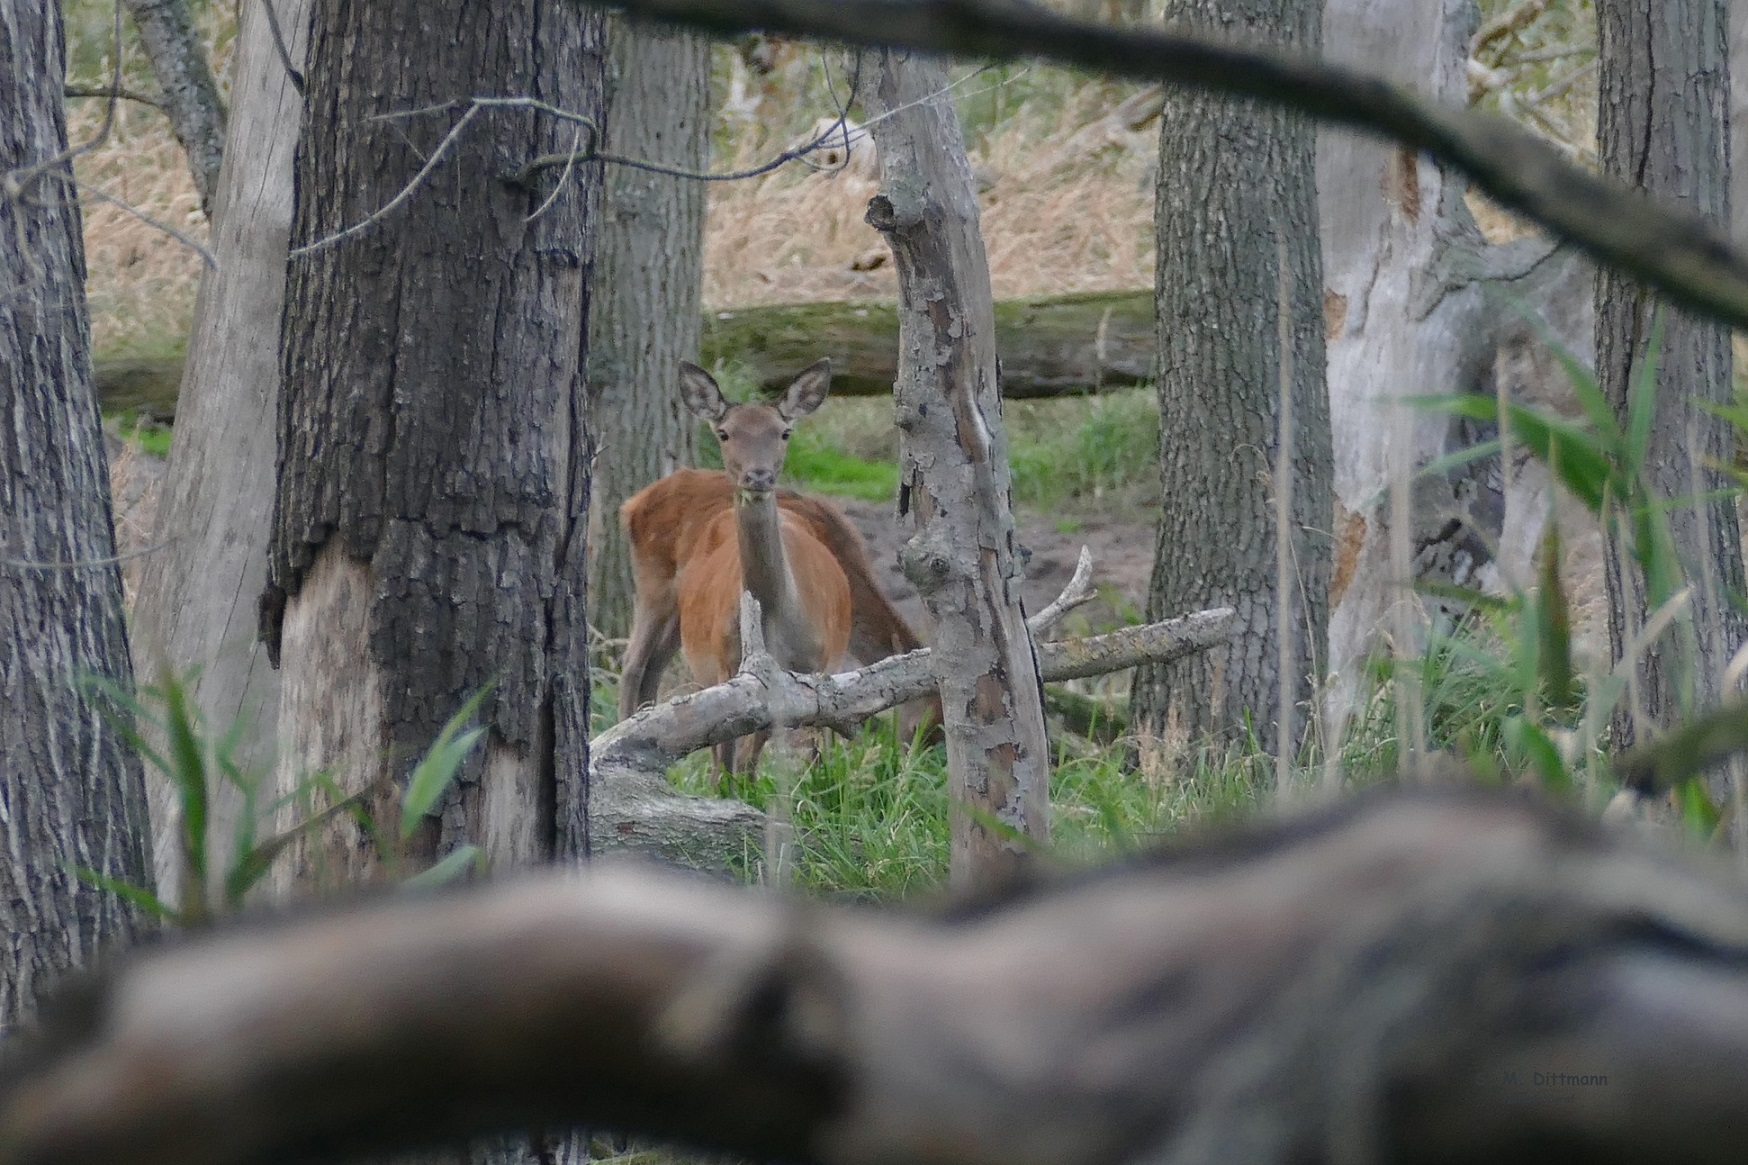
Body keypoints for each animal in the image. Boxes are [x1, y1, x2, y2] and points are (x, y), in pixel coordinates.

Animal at [618, 363, 943, 776]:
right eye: (927, 724)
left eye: (784, 432)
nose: (918, 769)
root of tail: (631, 504)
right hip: (653, 585)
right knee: (632, 665)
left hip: (679, 613)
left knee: (653, 668)